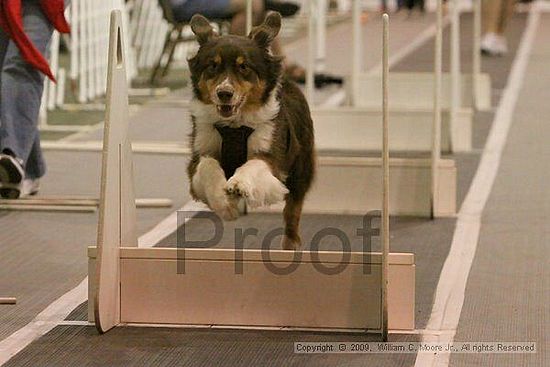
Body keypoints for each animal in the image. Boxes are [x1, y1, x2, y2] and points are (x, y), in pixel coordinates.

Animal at [188, 12, 314, 252]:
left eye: (244, 67)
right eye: (213, 66)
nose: (224, 93)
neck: (234, 125)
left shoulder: (271, 153)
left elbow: (255, 164)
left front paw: (239, 185)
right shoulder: (200, 152)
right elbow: (208, 166)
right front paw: (225, 204)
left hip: (301, 167)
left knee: (293, 206)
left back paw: (291, 242)